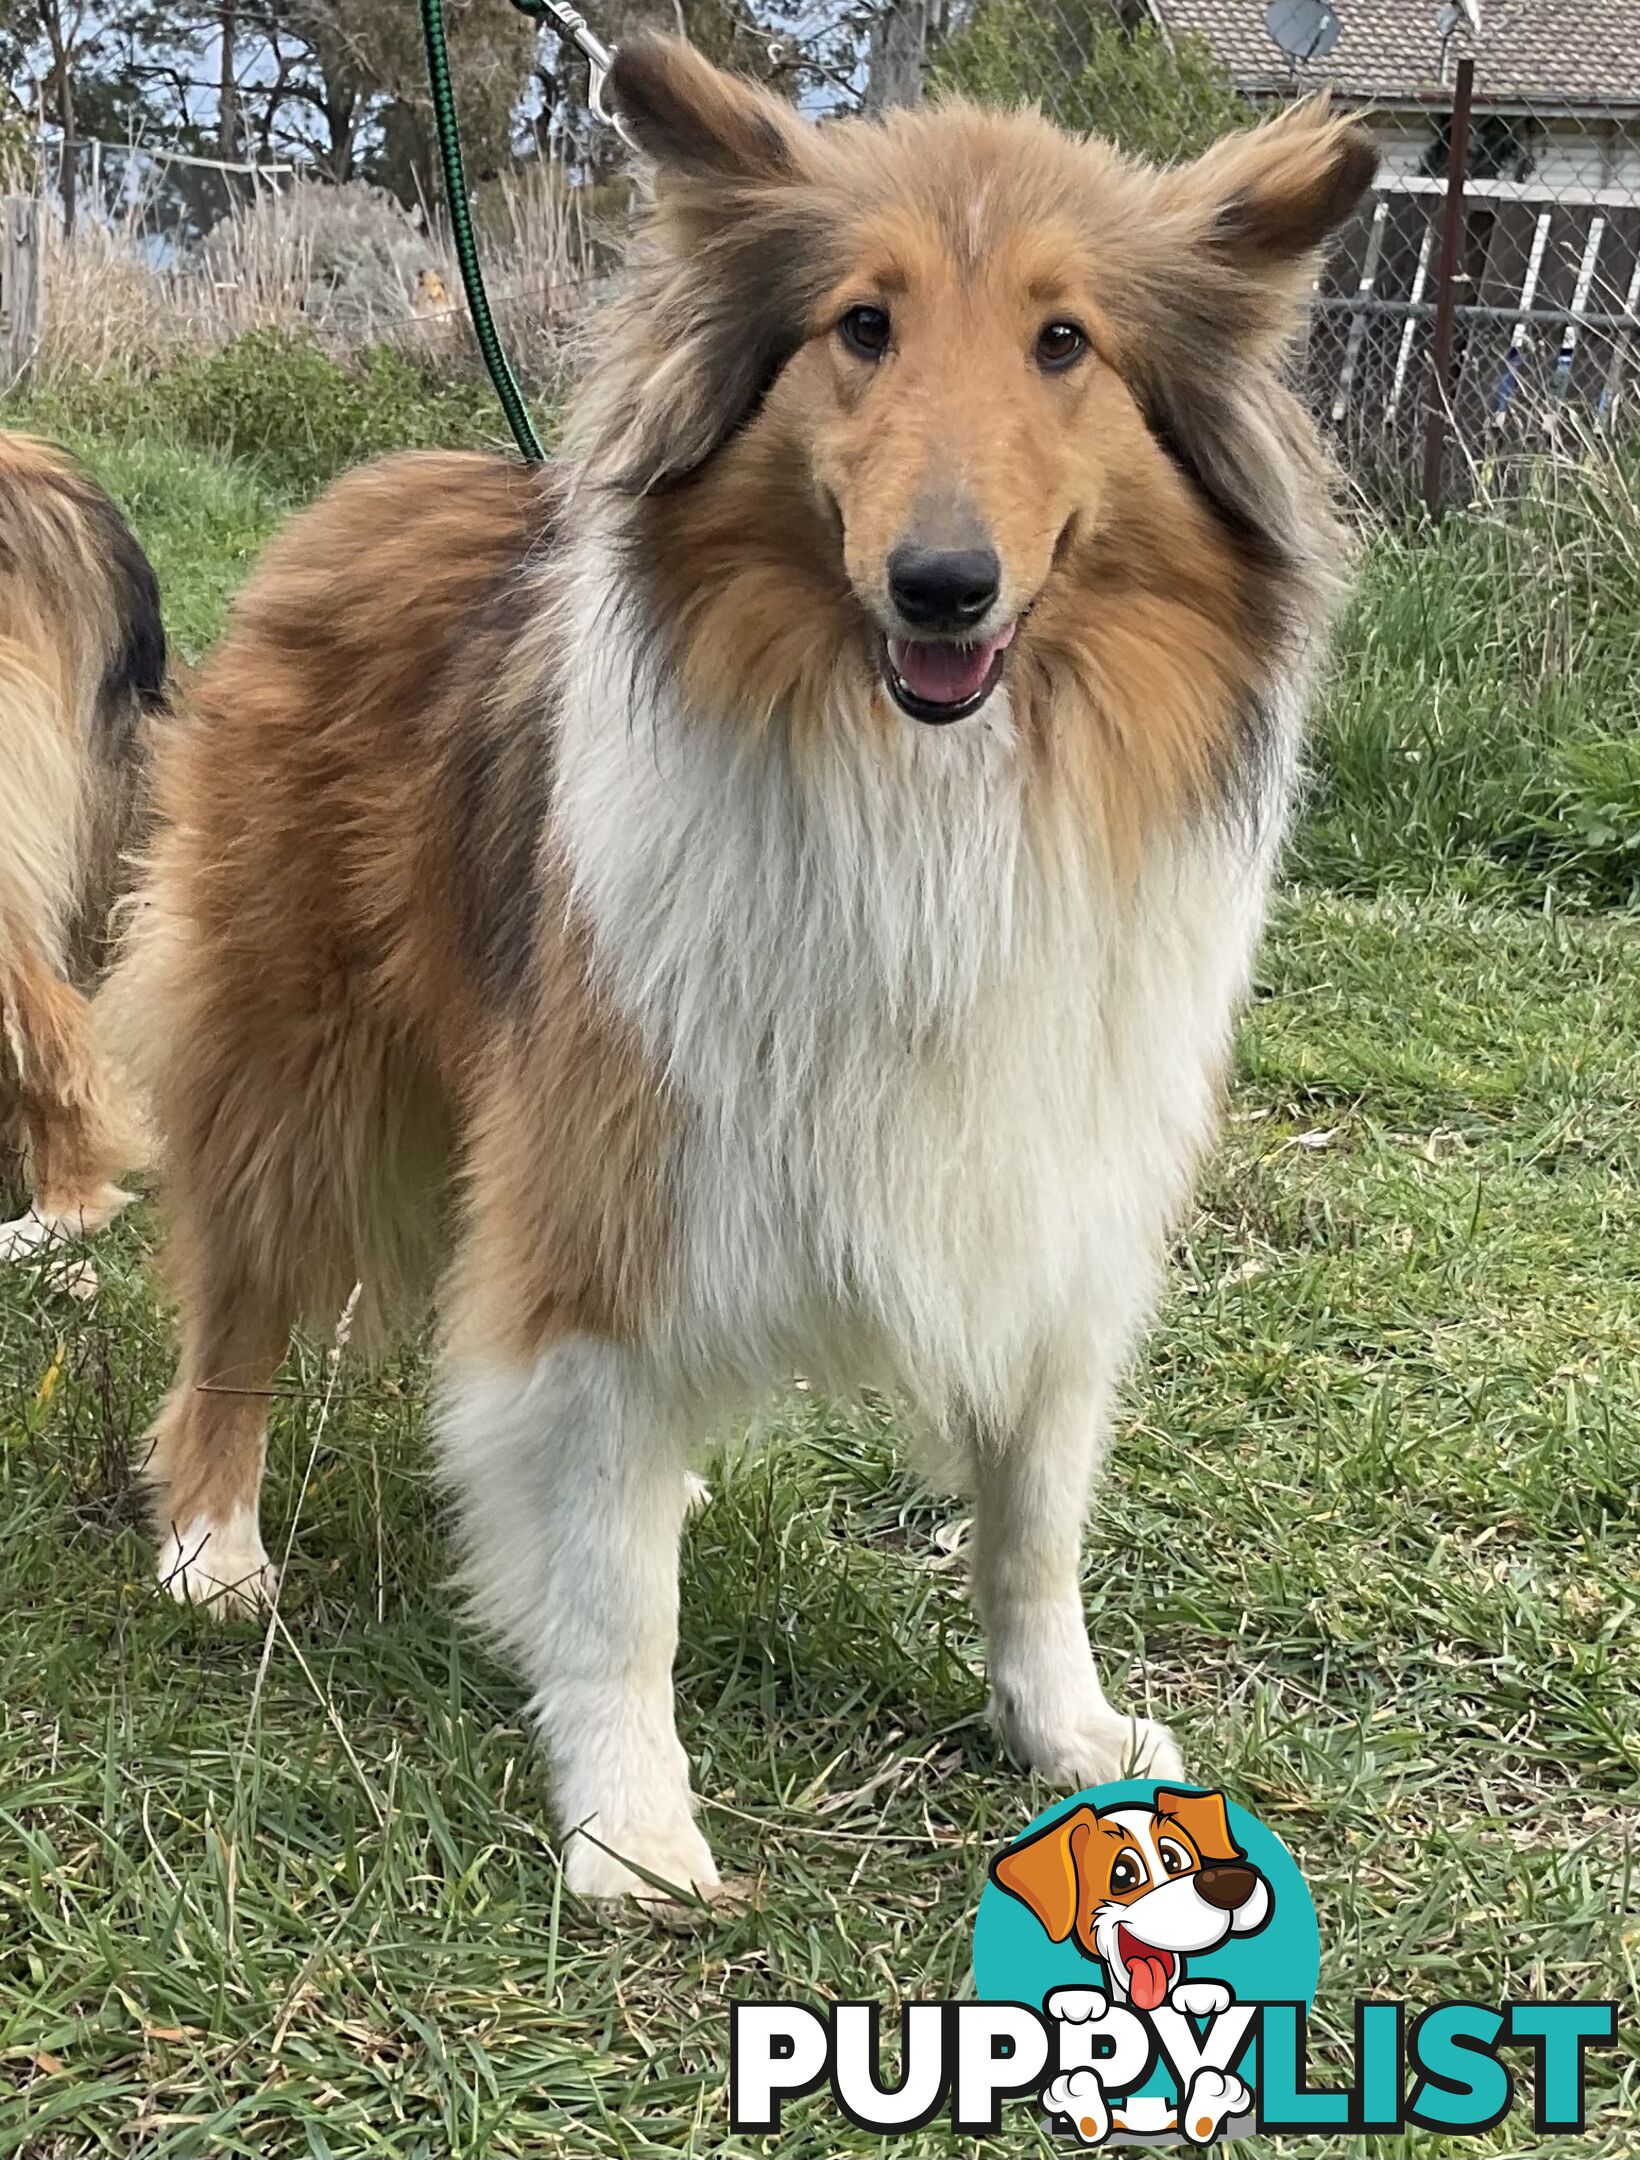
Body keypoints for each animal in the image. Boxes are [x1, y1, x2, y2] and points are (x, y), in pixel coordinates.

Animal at [112, 33, 1374, 1892]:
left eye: (1066, 342)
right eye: (862, 324)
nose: (943, 588)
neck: (924, 788)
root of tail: (368, 487)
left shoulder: (1049, 1190)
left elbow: (1032, 1522)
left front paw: (1065, 1735)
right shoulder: (607, 1173)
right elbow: (613, 1573)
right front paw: (633, 1822)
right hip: (297, 1057)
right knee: (241, 1303)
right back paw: (211, 1541)